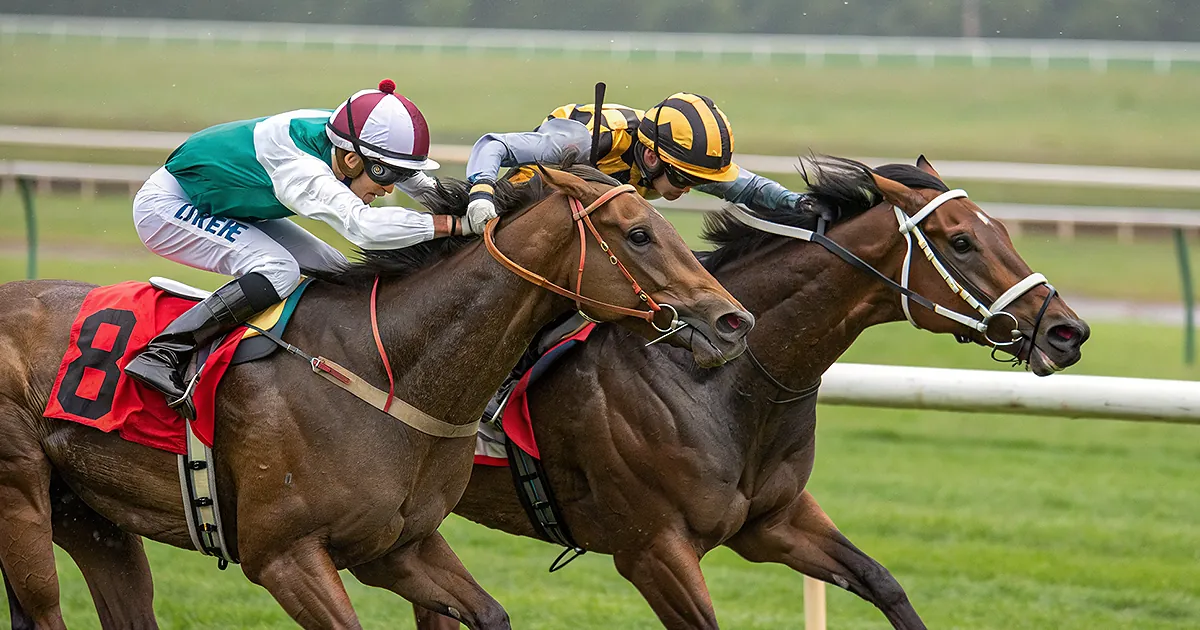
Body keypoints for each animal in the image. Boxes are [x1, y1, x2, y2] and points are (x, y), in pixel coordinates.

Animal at [0, 165, 754, 630]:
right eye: (639, 234)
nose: (732, 321)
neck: (387, 374)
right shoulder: (284, 555)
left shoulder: (396, 546)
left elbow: (488, 612)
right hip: (21, 497)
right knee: (44, 610)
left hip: (90, 514)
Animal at [414, 156, 1091, 629]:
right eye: (961, 241)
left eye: (1002, 230)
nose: (1067, 331)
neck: (722, 382)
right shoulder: (652, 552)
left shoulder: (774, 522)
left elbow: (884, 583)